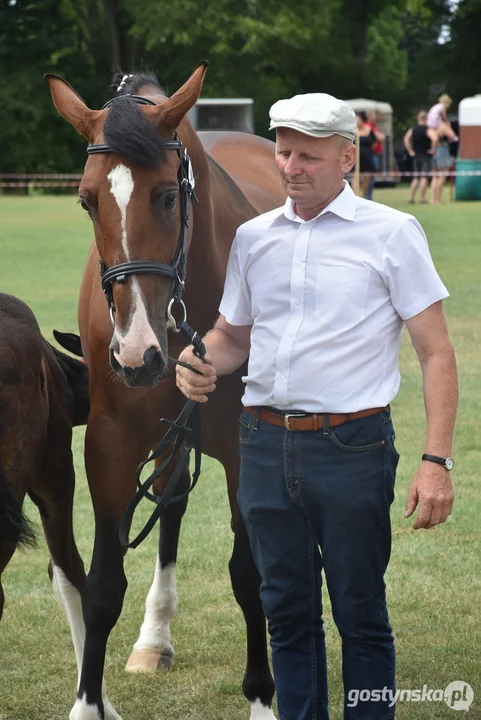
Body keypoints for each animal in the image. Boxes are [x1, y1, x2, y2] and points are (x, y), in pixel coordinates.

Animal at [46, 63, 284, 720]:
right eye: (86, 200)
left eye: (167, 196)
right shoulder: (110, 445)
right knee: (171, 502)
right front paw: (87, 703)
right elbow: (102, 587)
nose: (136, 354)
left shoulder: (243, 448)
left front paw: (263, 697)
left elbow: (250, 575)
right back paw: (153, 639)